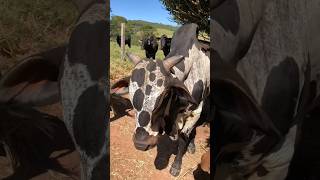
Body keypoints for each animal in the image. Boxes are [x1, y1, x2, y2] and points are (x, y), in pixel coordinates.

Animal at [127, 23, 210, 176]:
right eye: (130, 94)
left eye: (164, 95)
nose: (141, 143)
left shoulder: (196, 111)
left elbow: (183, 137)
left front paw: (176, 165)